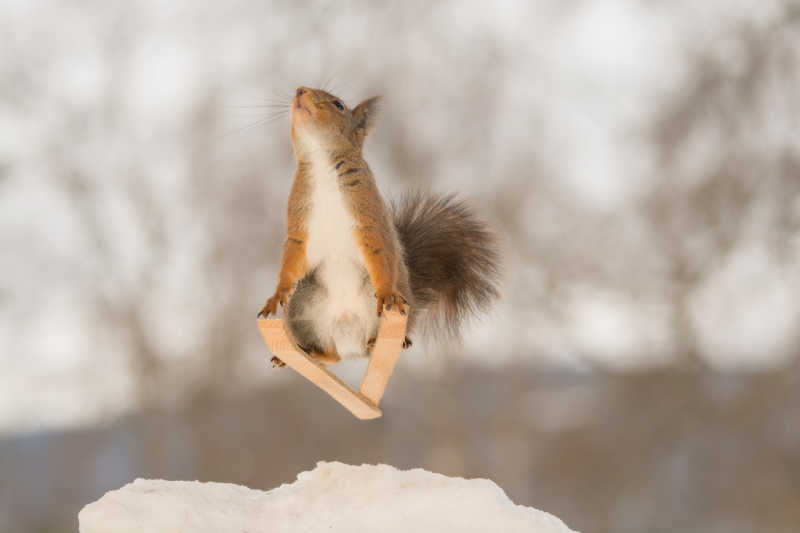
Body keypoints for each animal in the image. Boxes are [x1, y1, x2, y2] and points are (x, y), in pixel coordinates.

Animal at [258, 86, 500, 366]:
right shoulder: (299, 226)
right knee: (331, 355)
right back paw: (302, 353)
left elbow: (379, 253)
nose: (300, 90)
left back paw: (387, 340)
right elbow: (291, 260)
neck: (322, 164)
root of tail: (350, 342)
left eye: (338, 105)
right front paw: (276, 295)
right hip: (303, 304)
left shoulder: (370, 220)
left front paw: (385, 293)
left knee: (375, 344)